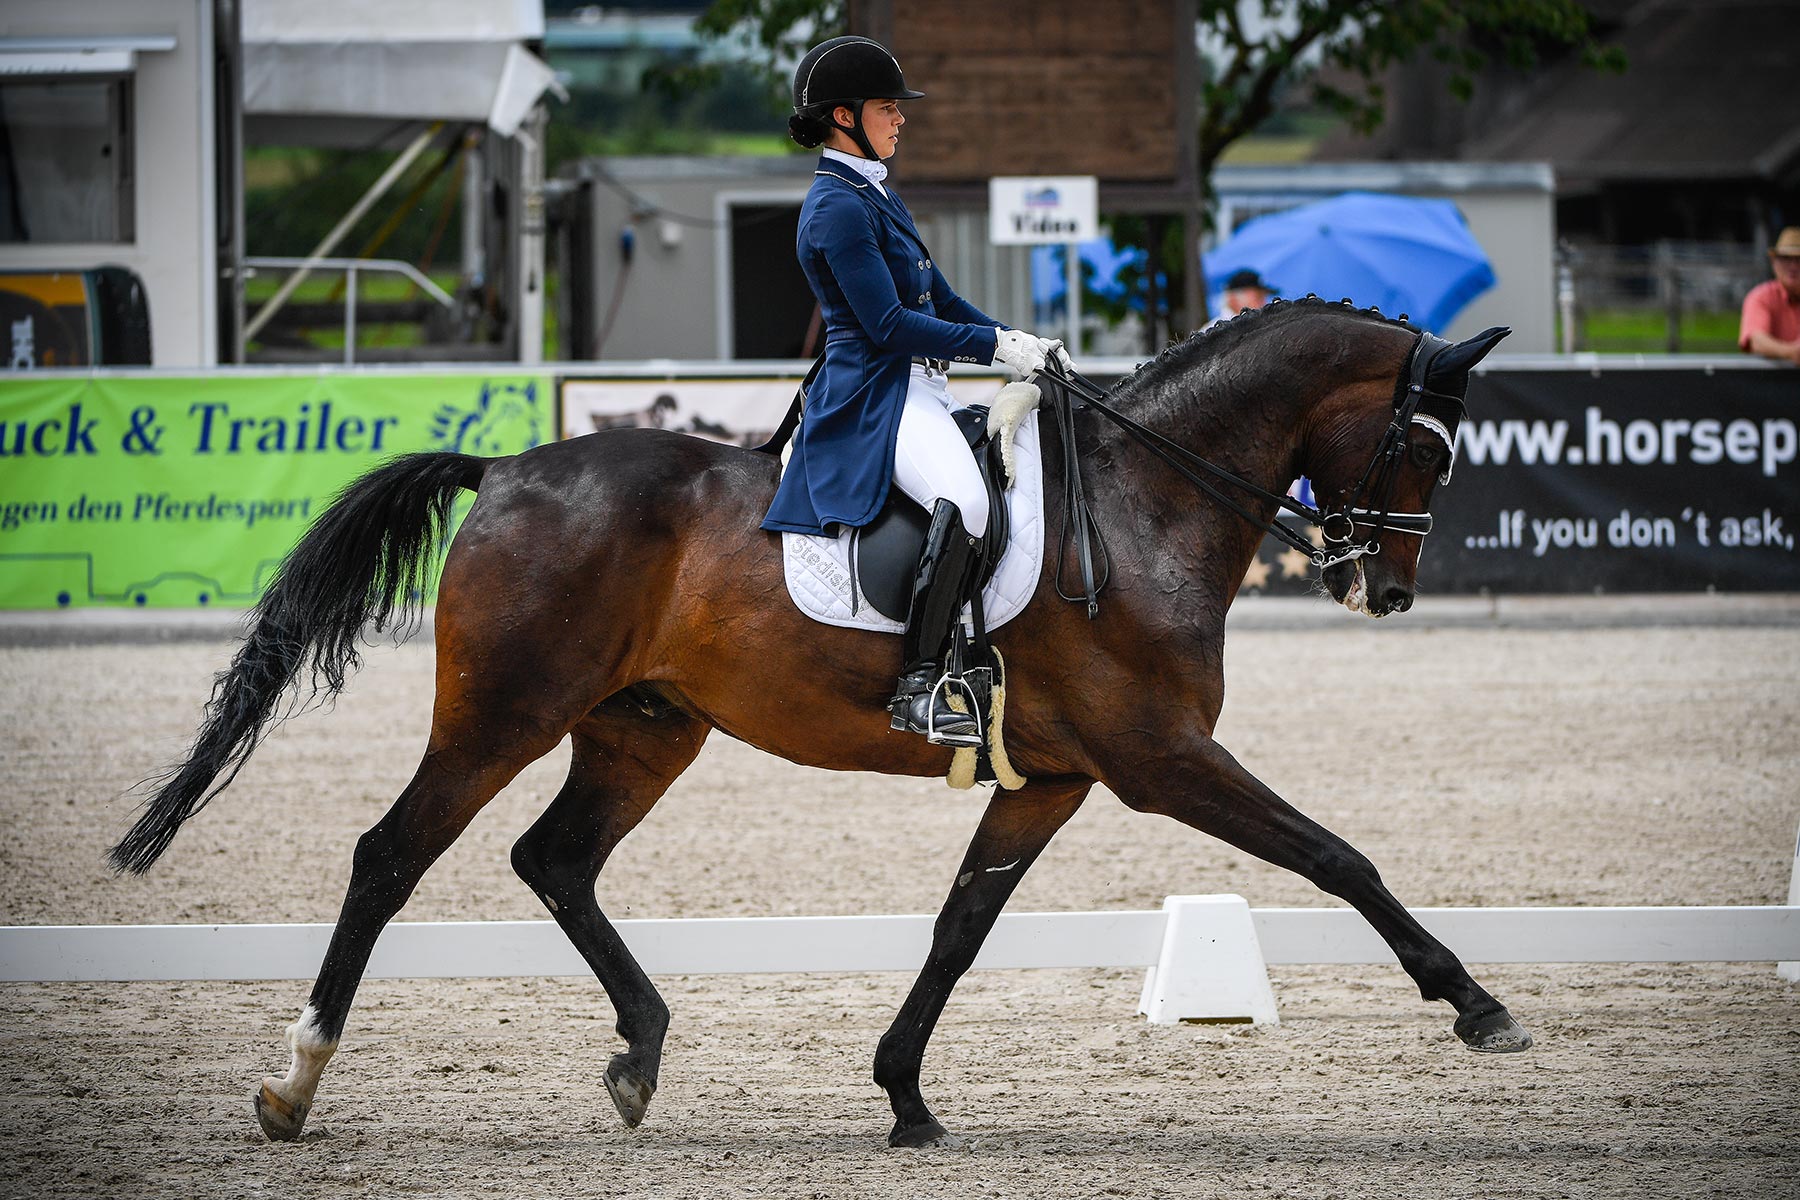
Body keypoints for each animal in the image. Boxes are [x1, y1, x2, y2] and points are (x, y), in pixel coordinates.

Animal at [112, 295, 1526, 1151]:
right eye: (1425, 448)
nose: (1388, 589)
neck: (1141, 503)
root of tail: (509, 470)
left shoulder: (1052, 779)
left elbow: (961, 927)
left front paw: (904, 1096)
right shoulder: (1161, 758)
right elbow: (1338, 856)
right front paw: (1473, 1005)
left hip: (643, 727)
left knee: (553, 859)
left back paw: (640, 1055)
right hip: (501, 713)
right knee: (390, 857)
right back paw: (292, 1085)